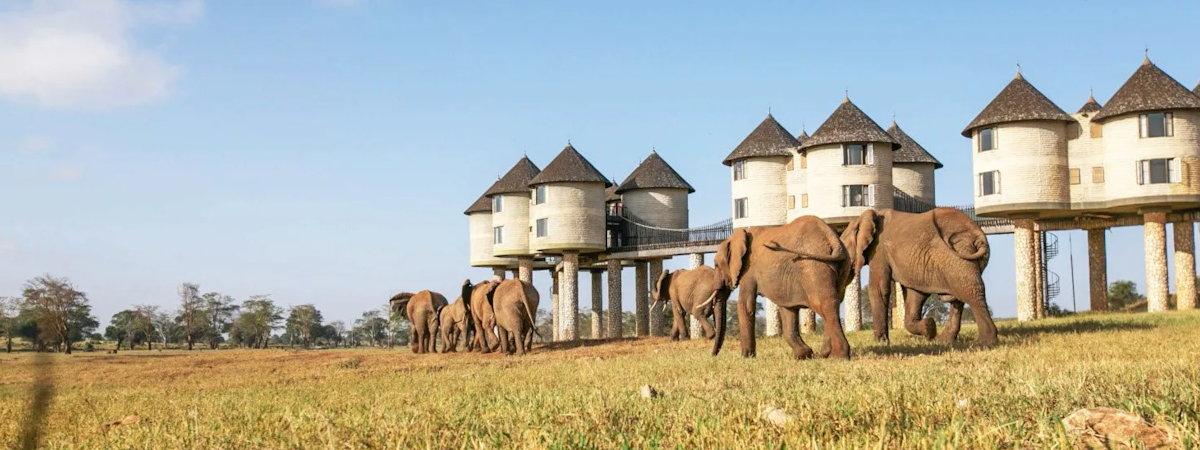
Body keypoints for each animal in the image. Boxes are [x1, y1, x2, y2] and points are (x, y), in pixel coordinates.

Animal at [710, 217, 854, 362]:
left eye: (716, 265)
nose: (713, 355)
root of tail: (833, 240)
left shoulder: (749, 270)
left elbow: (746, 305)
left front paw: (746, 357)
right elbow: (787, 309)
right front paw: (803, 356)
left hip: (815, 266)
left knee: (824, 305)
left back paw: (838, 356)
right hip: (842, 266)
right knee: (833, 303)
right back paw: (826, 354)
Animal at [844, 208, 1003, 348]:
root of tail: (978, 234)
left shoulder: (879, 250)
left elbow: (879, 288)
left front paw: (881, 343)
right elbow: (915, 295)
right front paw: (930, 329)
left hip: (960, 254)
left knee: (970, 292)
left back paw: (986, 343)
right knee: (960, 296)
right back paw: (944, 341)